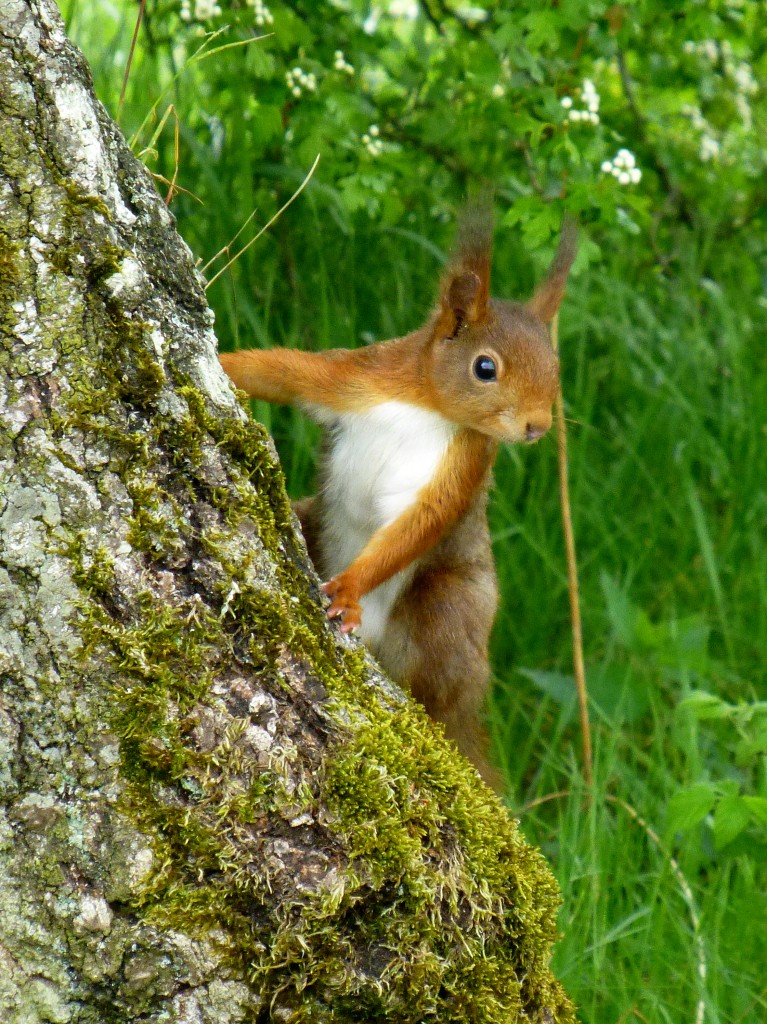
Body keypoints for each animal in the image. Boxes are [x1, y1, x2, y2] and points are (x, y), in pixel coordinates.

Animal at [217, 207, 573, 782]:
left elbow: (417, 525)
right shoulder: (355, 377)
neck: (427, 404)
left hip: (452, 607)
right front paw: (219, 358)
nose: (537, 427)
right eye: (485, 367)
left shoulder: (463, 467)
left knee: (434, 685)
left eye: (556, 370)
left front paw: (349, 589)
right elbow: (283, 371)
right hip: (311, 517)